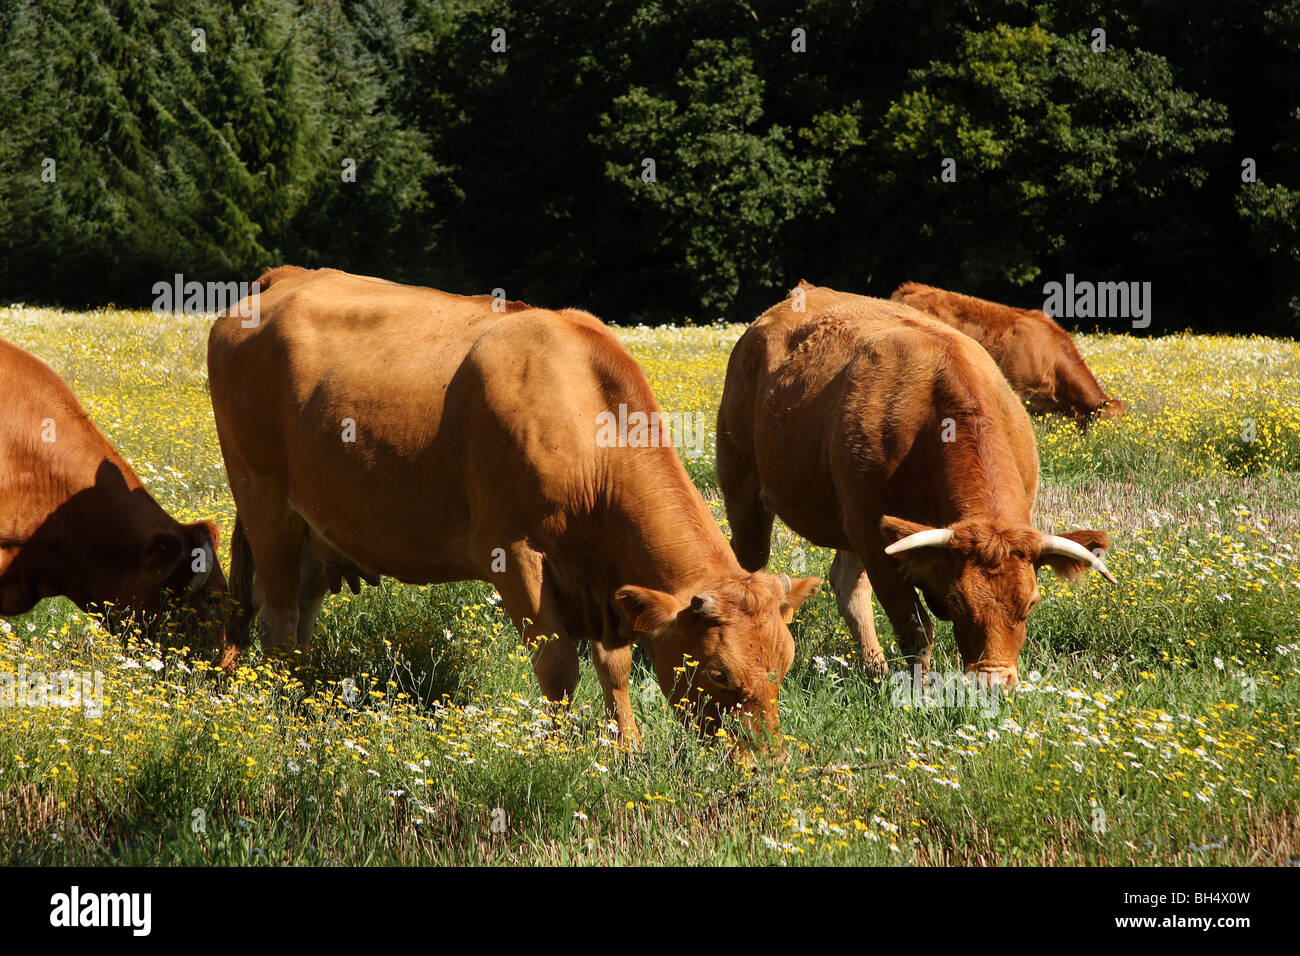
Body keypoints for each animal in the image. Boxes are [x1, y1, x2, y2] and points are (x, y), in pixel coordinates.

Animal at [207, 266, 819, 753]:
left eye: (785, 666)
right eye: (717, 672)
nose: (767, 763)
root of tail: (283, 277)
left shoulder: (606, 582)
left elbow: (616, 666)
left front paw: (627, 748)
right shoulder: (514, 554)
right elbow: (557, 667)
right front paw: (560, 752)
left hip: (315, 526)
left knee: (300, 617)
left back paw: (305, 698)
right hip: (264, 502)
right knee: (278, 618)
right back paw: (286, 719)